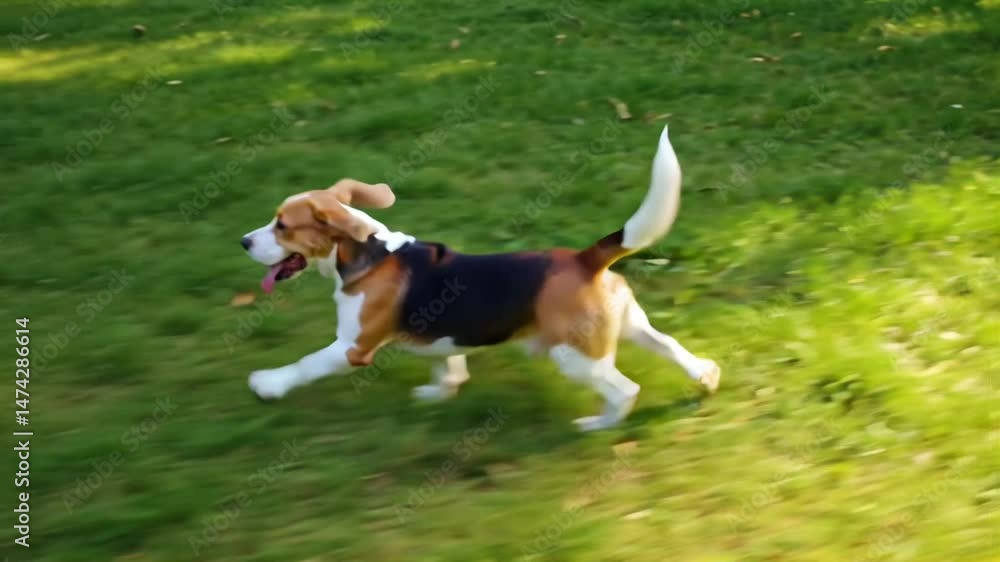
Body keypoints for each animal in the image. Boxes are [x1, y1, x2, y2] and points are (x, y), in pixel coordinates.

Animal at [240, 126, 719, 431]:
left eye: (282, 225)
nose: (244, 241)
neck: (366, 253)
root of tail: (586, 259)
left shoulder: (351, 348)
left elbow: (306, 365)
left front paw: (268, 384)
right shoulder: (438, 337)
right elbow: (448, 369)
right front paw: (437, 395)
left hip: (573, 355)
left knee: (625, 390)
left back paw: (597, 424)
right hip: (627, 327)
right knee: (672, 348)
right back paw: (707, 377)